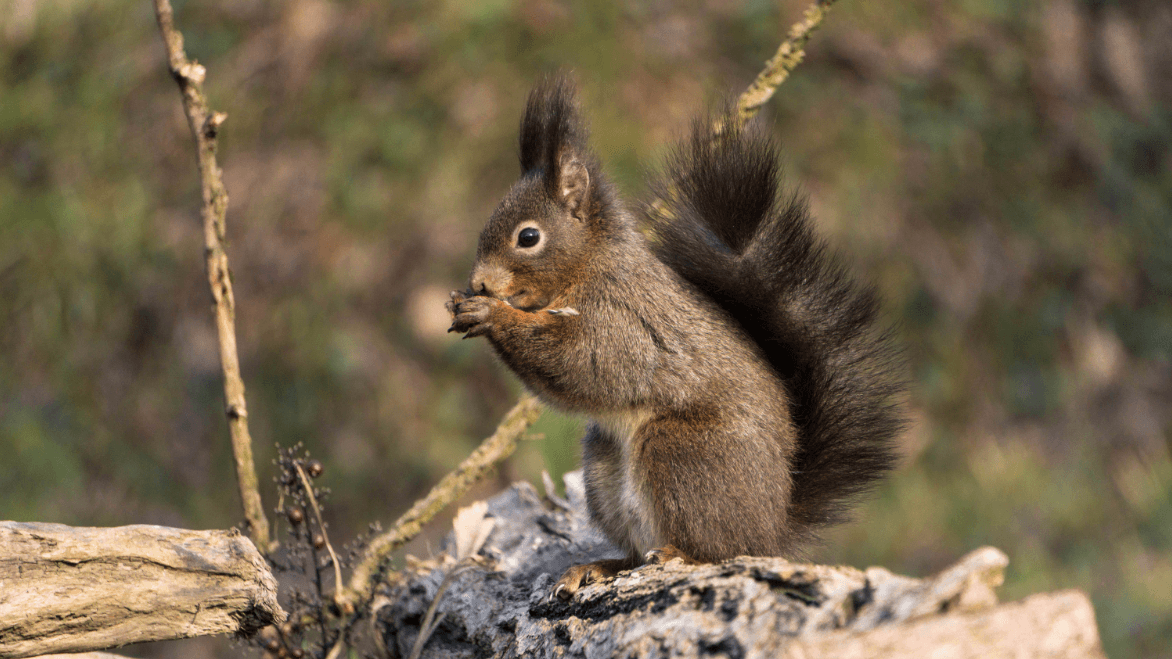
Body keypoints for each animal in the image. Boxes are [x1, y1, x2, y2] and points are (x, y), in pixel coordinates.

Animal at [447, 76, 905, 599]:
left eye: (528, 237)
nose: (479, 283)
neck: (588, 263)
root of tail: (771, 530)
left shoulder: (623, 318)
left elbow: (584, 362)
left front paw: (490, 313)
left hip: (680, 451)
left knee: (715, 550)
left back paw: (680, 554)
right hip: (604, 469)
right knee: (633, 551)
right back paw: (600, 566)